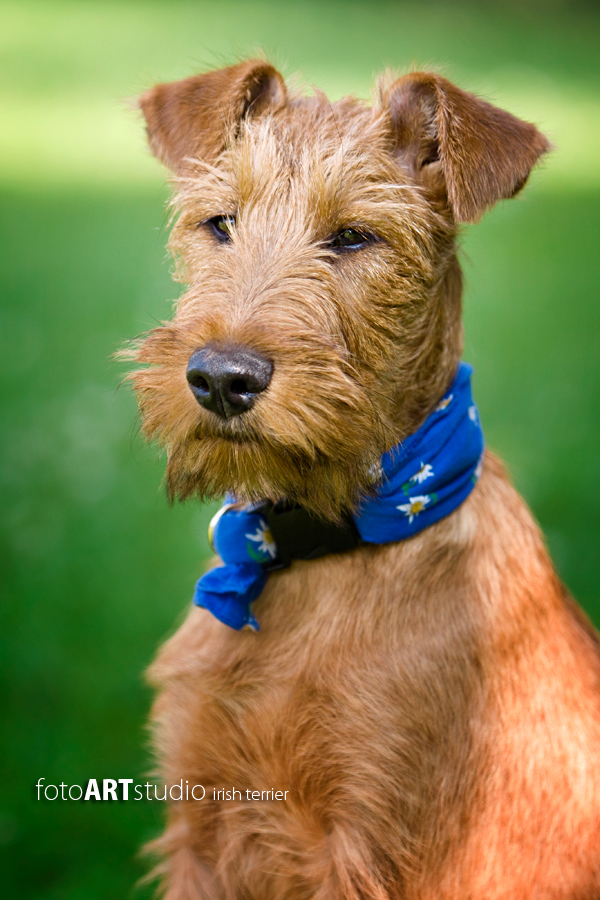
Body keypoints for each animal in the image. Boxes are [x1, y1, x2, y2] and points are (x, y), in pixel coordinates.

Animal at [126, 59, 600, 896]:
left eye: (352, 236)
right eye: (221, 223)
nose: (221, 379)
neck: (313, 555)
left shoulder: (372, 845)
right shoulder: (201, 823)